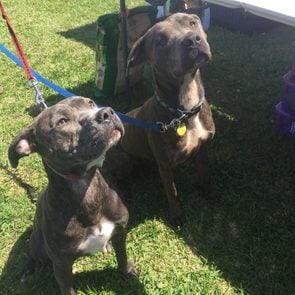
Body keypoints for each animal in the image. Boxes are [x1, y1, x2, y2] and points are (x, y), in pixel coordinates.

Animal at [8, 96, 138, 294]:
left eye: (90, 103)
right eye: (62, 122)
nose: (107, 112)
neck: (86, 188)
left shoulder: (120, 232)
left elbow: (122, 255)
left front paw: (126, 271)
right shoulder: (61, 265)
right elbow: (68, 289)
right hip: (39, 244)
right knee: (32, 253)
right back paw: (26, 271)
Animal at [120, 12, 215, 228]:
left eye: (192, 22)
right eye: (160, 41)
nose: (193, 40)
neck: (185, 110)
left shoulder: (203, 147)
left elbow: (204, 170)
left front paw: (206, 190)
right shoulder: (164, 165)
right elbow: (172, 191)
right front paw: (177, 215)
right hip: (123, 161)